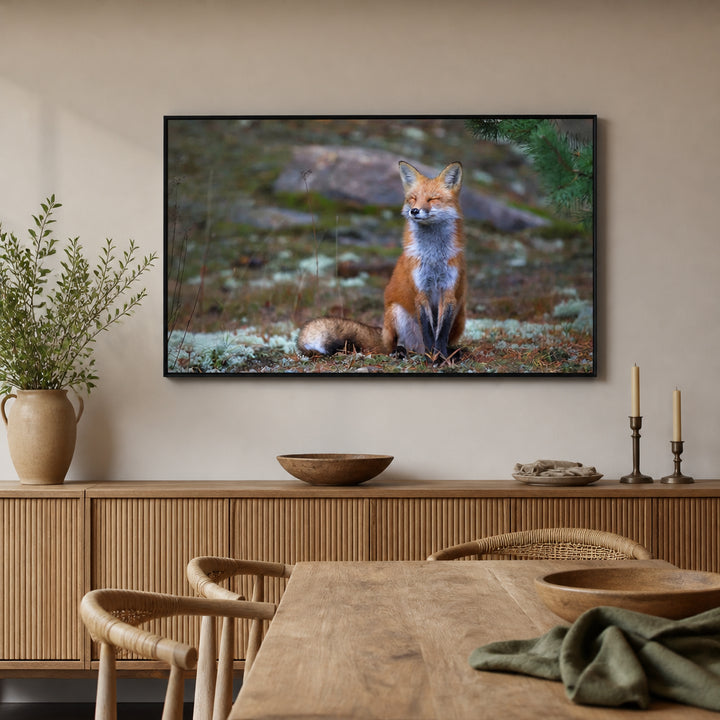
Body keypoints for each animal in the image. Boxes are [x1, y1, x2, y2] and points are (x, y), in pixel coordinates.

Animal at [297, 160, 466, 361]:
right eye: (413, 198)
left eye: (432, 199)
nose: (414, 211)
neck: (433, 257)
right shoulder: (420, 291)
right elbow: (428, 332)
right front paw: (433, 358)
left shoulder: (448, 291)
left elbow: (441, 334)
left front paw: (441, 357)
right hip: (396, 313)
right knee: (399, 345)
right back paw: (403, 351)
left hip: (460, 314)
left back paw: (454, 352)